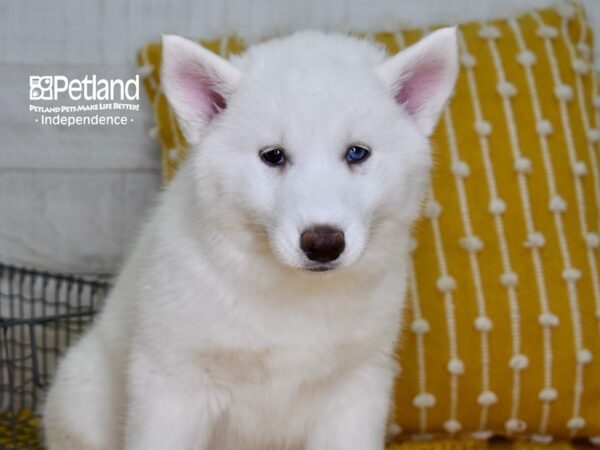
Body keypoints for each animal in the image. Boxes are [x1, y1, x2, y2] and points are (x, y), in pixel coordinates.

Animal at [42, 29, 458, 450]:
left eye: (357, 153)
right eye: (273, 156)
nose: (323, 244)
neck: (292, 292)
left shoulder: (356, 386)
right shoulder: (173, 384)